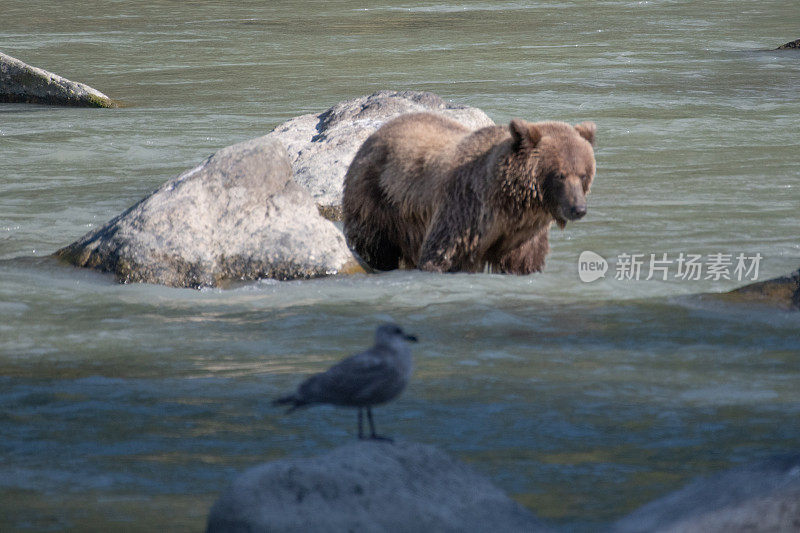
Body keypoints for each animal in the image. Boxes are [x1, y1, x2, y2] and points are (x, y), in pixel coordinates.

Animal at [340, 110, 596, 272]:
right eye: (560, 175)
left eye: (583, 174)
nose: (578, 208)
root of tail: (375, 133)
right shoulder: (466, 209)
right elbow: (444, 255)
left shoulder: (523, 233)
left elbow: (524, 261)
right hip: (376, 200)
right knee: (376, 246)